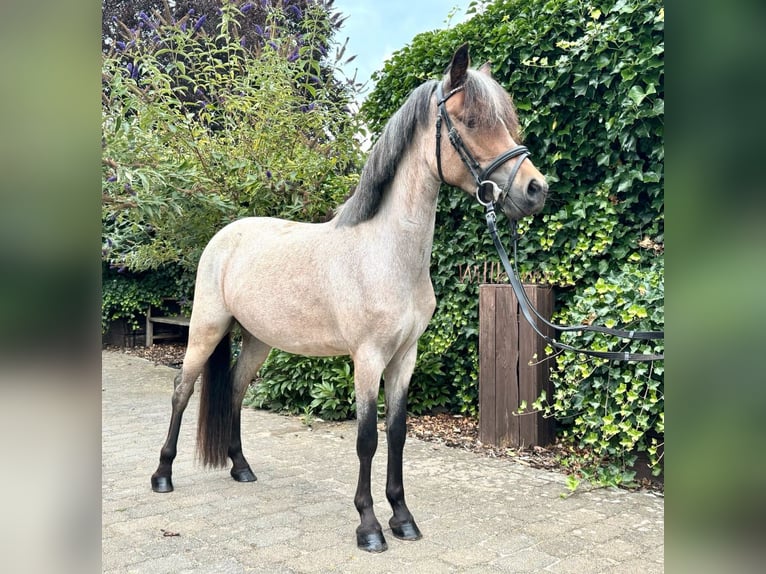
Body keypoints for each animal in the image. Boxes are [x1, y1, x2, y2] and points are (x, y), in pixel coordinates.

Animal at [152, 42, 544, 556]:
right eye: (473, 120)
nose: (536, 190)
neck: (386, 253)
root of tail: (224, 236)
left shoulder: (404, 358)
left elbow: (396, 434)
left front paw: (403, 518)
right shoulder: (368, 358)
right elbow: (366, 440)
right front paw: (370, 527)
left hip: (258, 339)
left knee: (235, 388)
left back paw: (241, 468)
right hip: (206, 328)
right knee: (182, 390)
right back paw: (162, 475)